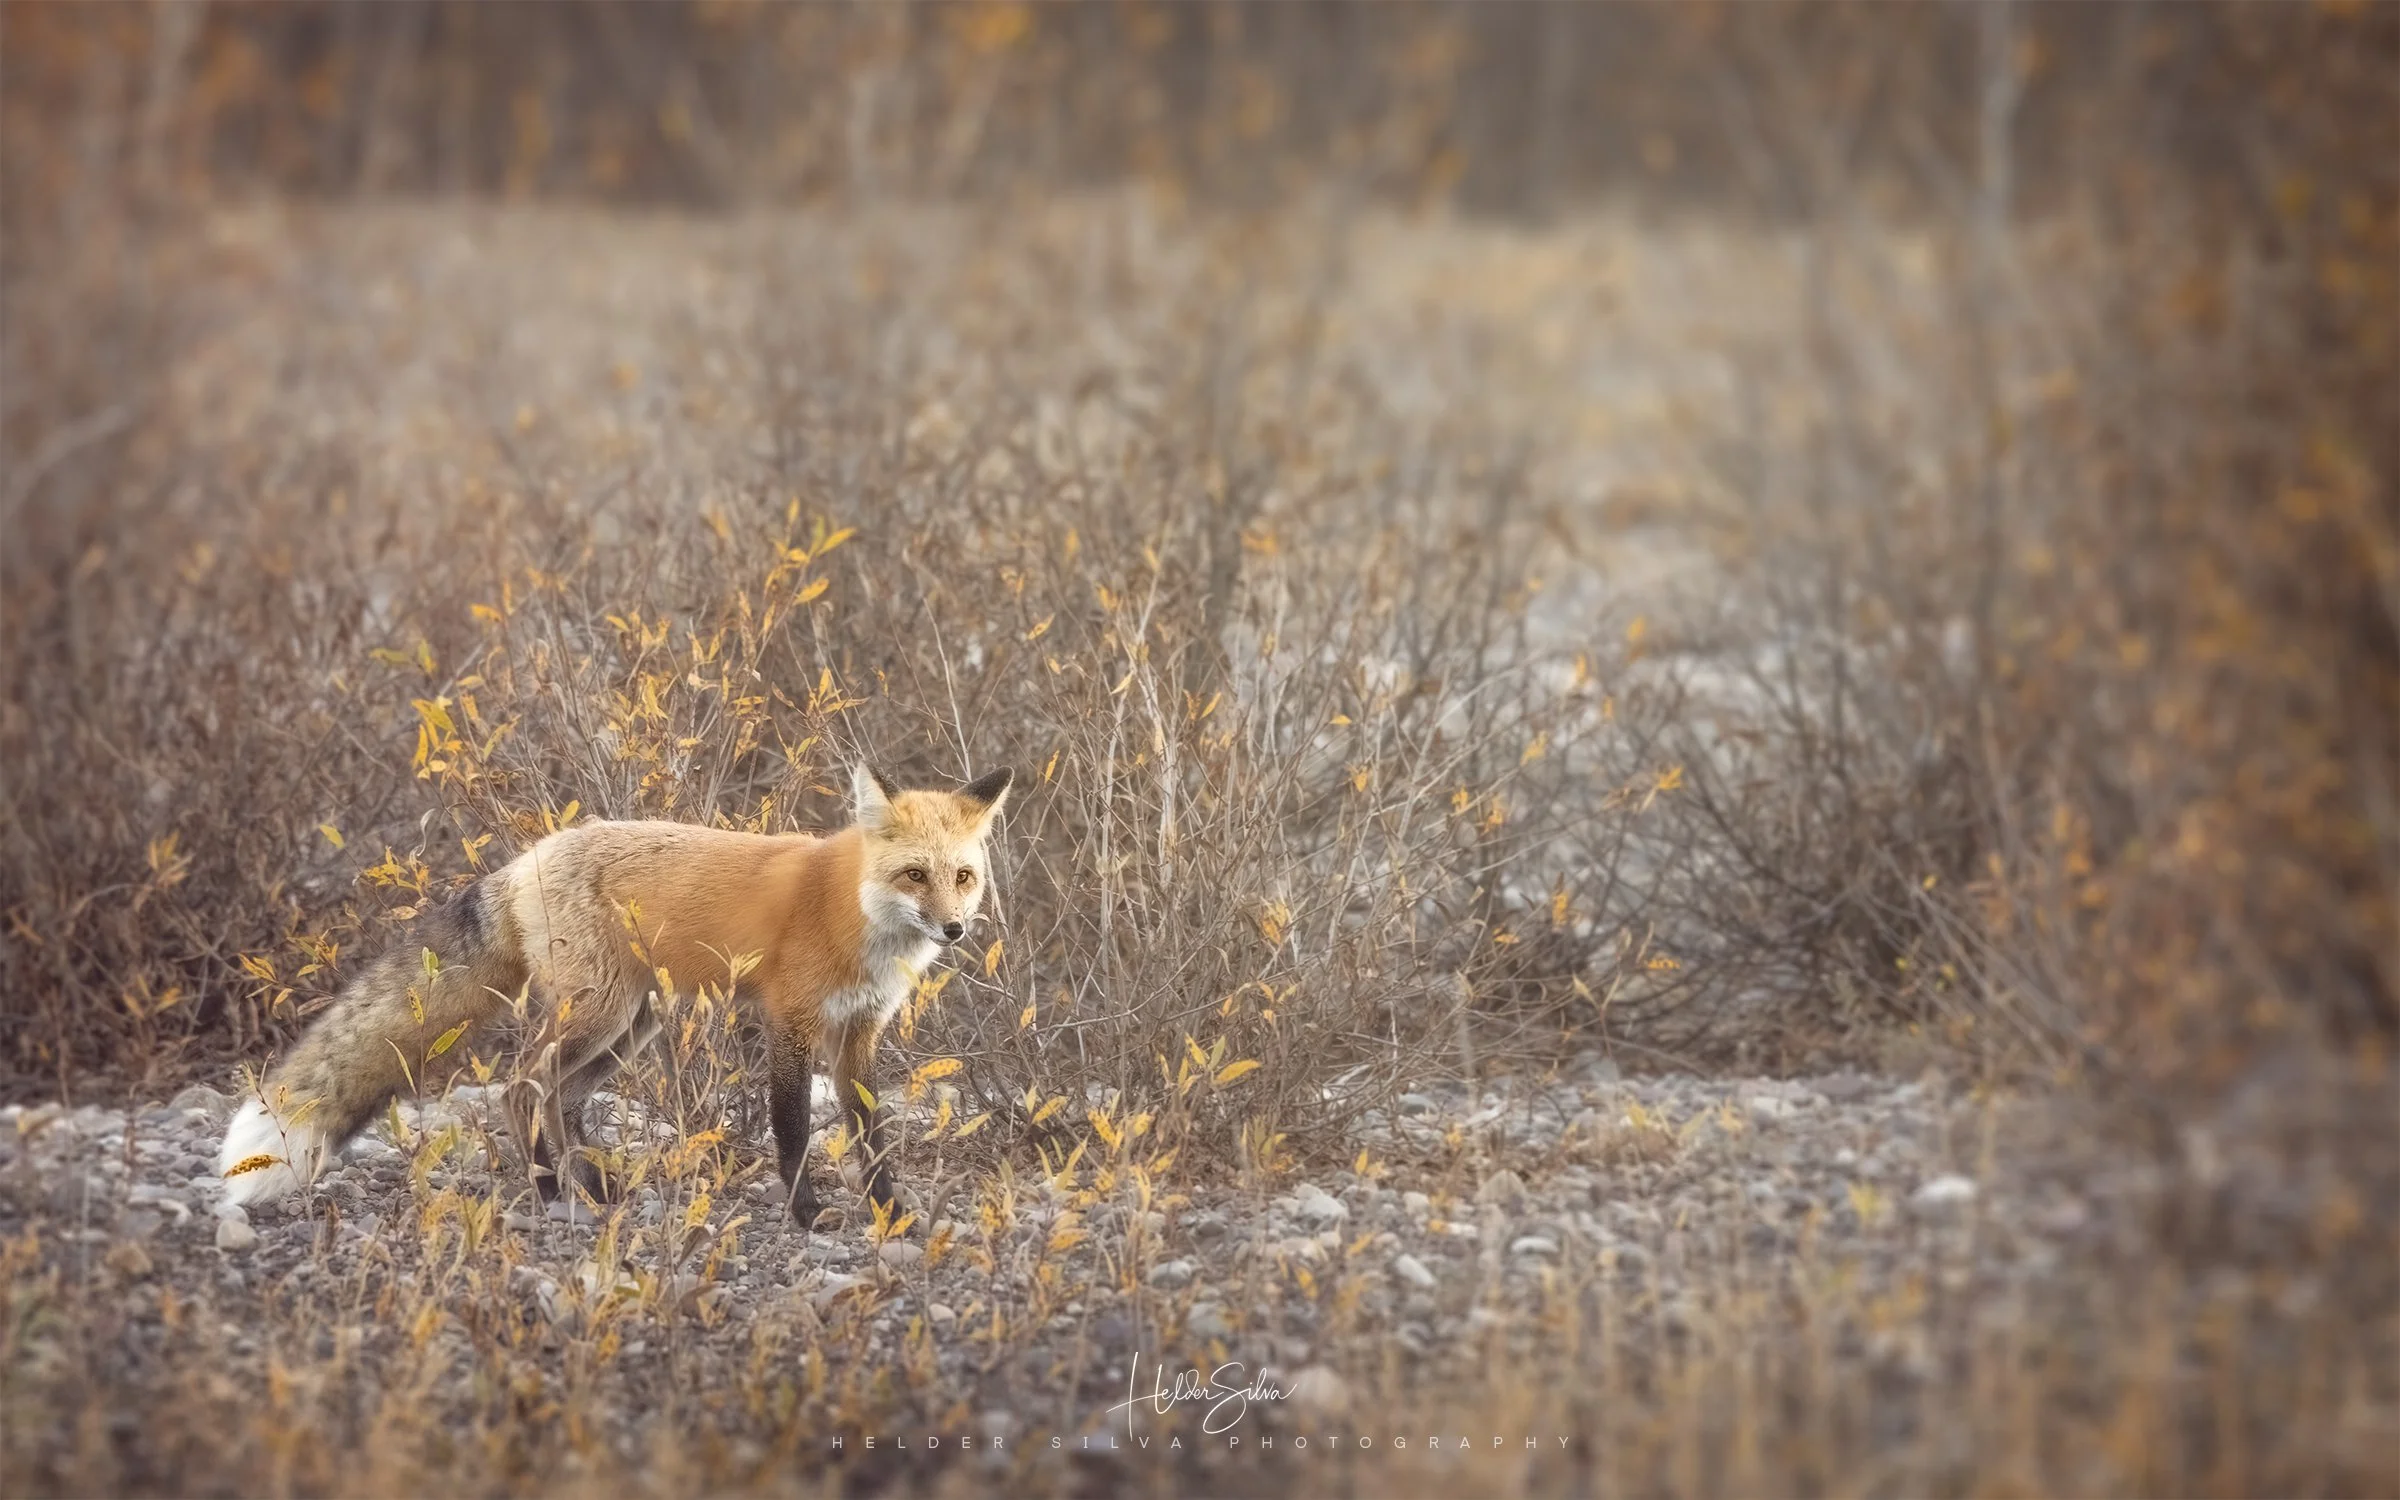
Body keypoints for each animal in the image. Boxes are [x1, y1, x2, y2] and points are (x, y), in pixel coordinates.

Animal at [218, 763, 1012, 1229]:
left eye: (963, 877)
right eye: (914, 874)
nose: (954, 929)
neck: (851, 912)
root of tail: (525, 860)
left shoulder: (859, 1032)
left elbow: (870, 1137)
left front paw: (890, 1210)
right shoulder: (788, 1021)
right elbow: (790, 1130)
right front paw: (806, 1214)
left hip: (630, 1025)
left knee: (560, 1096)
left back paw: (592, 1190)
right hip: (596, 1015)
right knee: (521, 1084)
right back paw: (546, 1189)